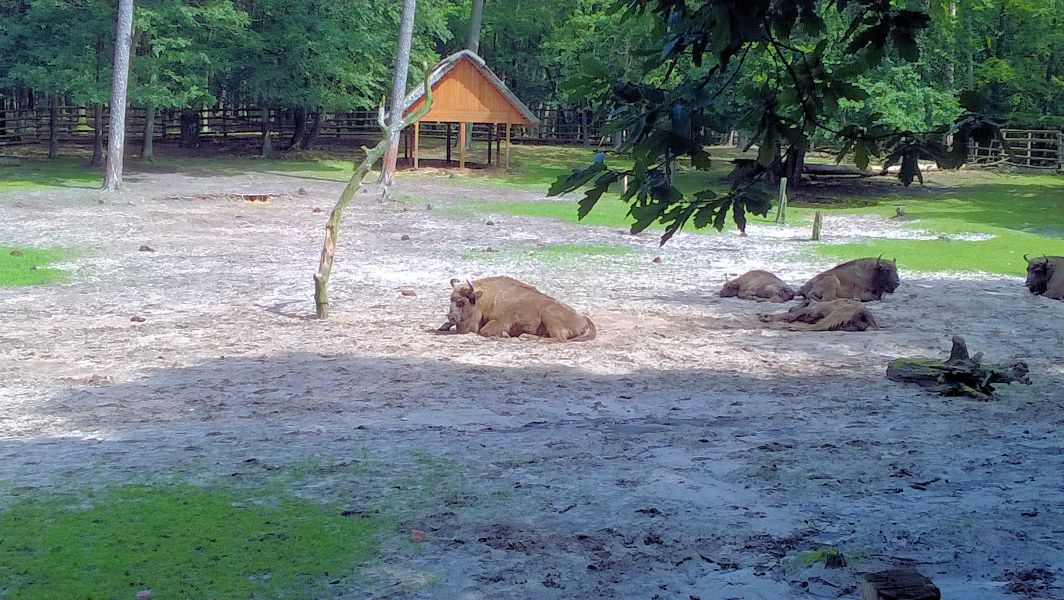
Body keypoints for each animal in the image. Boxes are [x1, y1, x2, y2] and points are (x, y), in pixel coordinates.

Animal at [436, 276, 595, 342]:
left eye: (462, 302)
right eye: (450, 299)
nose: (451, 317)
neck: (483, 300)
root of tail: (582, 317)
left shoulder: (502, 322)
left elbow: (484, 331)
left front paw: (504, 335)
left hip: (548, 314)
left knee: (560, 339)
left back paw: (525, 337)